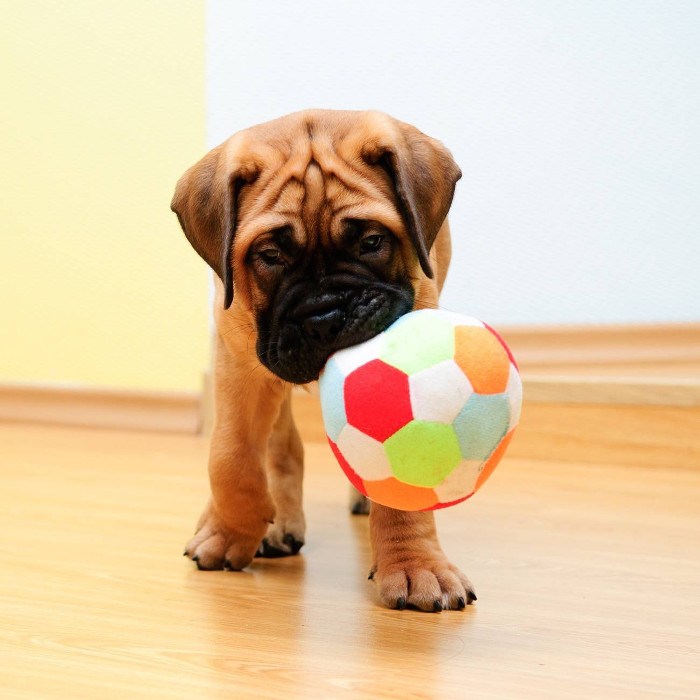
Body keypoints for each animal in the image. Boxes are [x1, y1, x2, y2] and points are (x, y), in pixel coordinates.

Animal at [171, 109, 476, 612]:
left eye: (371, 242)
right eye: (269, 255)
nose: (325, 316)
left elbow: (402, 475)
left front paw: (415, 566)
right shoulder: (241, 367)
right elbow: (232, 457)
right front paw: (228, 533)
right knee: (280, 447)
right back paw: (275, 524)